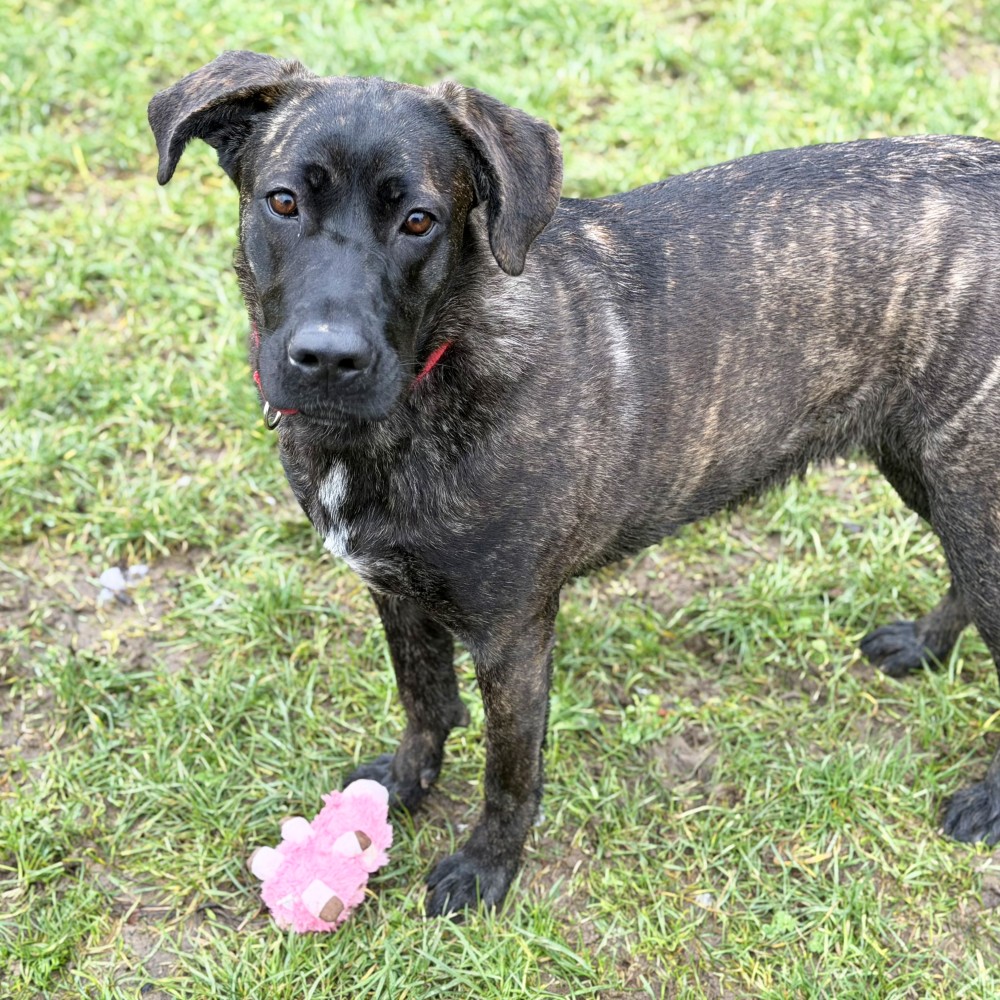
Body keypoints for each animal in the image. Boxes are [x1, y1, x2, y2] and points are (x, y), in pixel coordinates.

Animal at [149, 51, 1000, 917]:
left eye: (419, 220)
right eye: (283, 202)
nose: (328, 357)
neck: (436, 375)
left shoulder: (513, 634)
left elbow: (509, 768)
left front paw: (486, 867)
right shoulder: (396, 594)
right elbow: (424, 700)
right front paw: (403, 788)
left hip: (969, 492)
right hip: (932, 475)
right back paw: (924, 646)